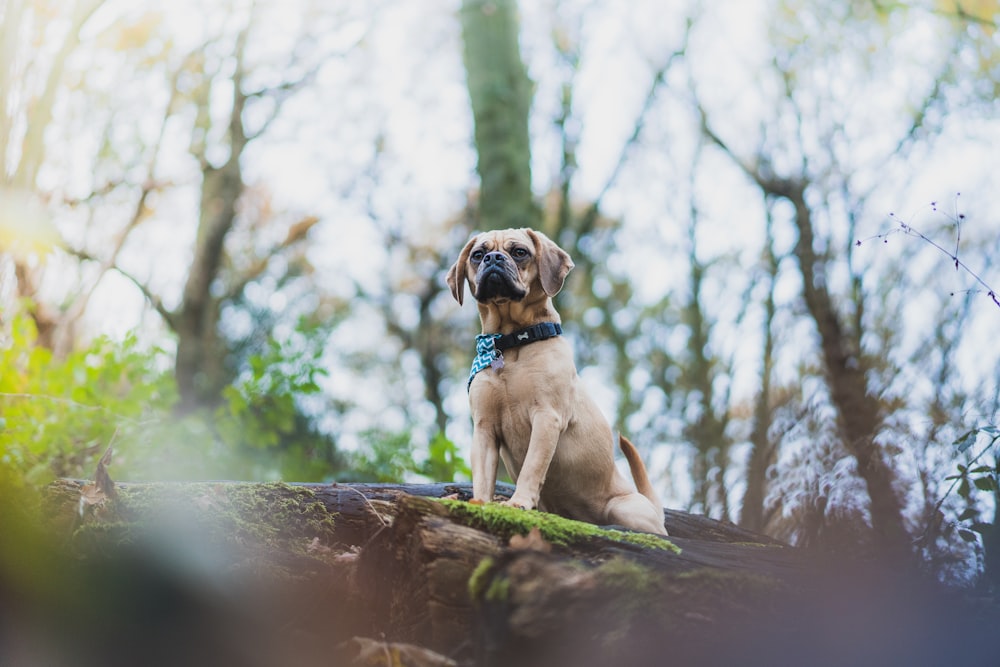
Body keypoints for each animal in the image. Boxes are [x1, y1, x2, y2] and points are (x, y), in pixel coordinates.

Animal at [444, 227, 664, 536]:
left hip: (623, 508)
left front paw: (518, 503)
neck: (511, 344)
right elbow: (483, 479)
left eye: (520, 252)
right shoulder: (485, 428)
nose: (493, 258)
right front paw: (481, 504)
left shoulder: (546, 417)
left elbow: (532, 468)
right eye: (477, 254)